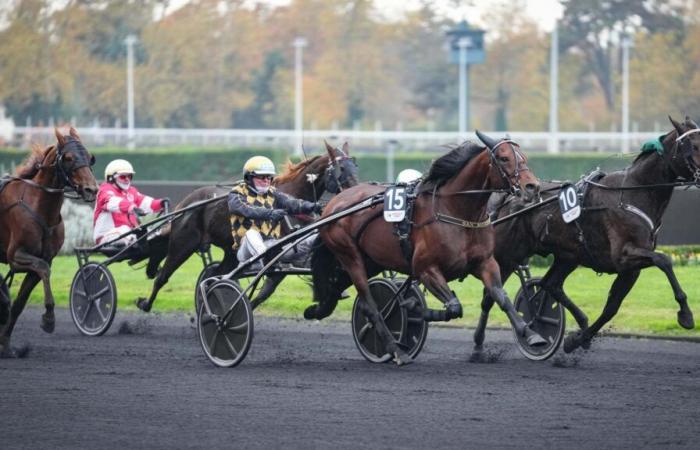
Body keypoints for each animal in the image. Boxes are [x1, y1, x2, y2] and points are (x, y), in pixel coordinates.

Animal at [0, 128, 98, 356]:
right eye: (69, 158)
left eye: (90, 157)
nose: (92, 189)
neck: (39, 206)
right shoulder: (15, 256)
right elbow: (43, 269)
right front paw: (49, 320)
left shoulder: (43, 258)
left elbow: (19, 303)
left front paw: (6, 345)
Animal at [135, 142, 360, 312]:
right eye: (340, 170)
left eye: (354, 166)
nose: (355, 192)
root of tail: (186, 203)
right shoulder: (281, 256)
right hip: (183, 243)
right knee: (163, 275)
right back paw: (145, 303)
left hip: (230, 252)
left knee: (215, 276)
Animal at [312, 132, 548, 364]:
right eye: (503, 158)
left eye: (524, 157)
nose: (532, 187)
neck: (456, 211)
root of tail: (333, 204)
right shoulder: (426, 269)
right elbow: (454, 306)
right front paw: (413, 307)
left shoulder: (485, 263)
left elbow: (501, 297)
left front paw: (532, 334)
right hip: (350, 257)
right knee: (370, 304)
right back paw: (396, 350)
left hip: (372, 260)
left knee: (341, 289)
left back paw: (317, 310)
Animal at [476, 116, 700, 356]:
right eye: (694, 145)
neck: (633, 192)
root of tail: (508, 197)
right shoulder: (623, 255)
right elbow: (664, 260)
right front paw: (686, 315)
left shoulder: (630, 269)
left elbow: (611, 308)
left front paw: (577, 339)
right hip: (508, 255)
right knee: (491, 295)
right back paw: (481, 343)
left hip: (568, 256)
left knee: (550, 284)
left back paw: (576, 321)